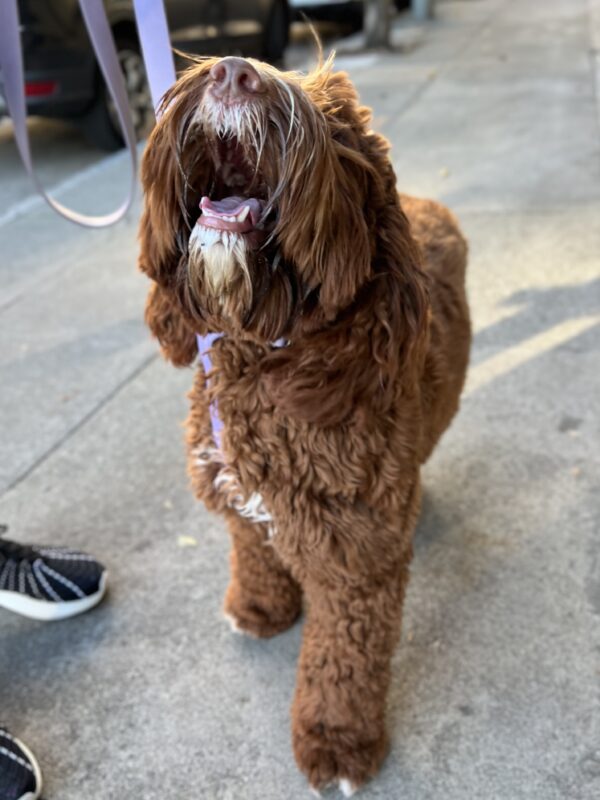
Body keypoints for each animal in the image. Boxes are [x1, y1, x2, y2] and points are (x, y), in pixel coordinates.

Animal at [138, 54, 472, 792]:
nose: (234, 71)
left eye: (336, 127)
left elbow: (341, 661)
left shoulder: (354, 558)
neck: (260, 358)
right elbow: (253, 546)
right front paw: (261, 606)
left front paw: (337, 740)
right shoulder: (236, 491)